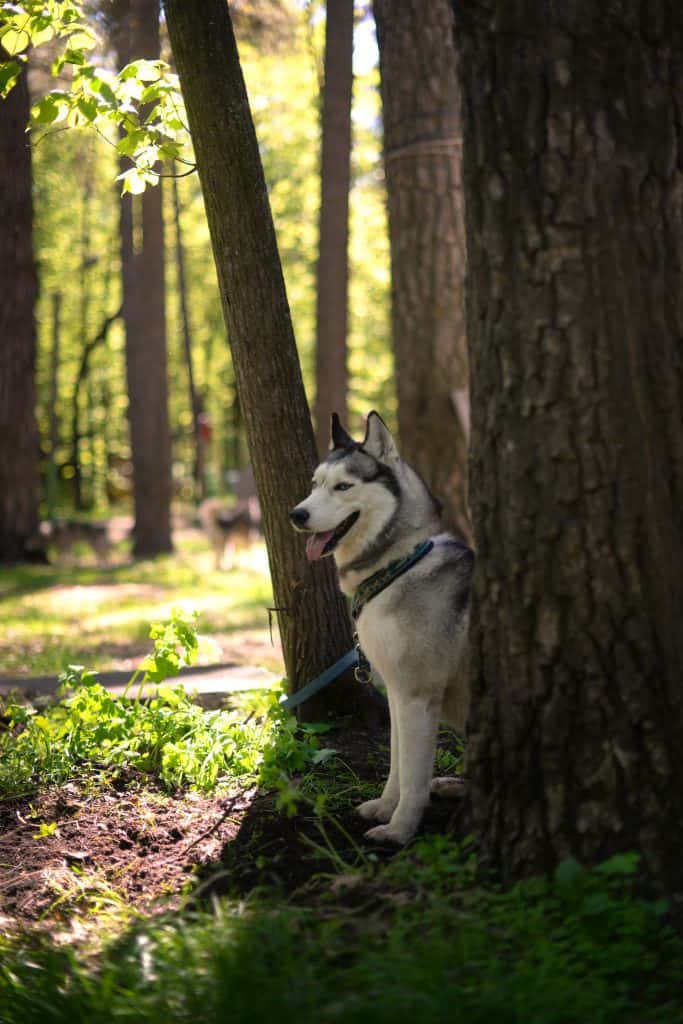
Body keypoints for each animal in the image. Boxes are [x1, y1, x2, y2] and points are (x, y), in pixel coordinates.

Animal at [286, 411, 471, 843]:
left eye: (343, 486)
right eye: (315, 484)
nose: (297, 515)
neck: (398, 566)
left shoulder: (417, 695)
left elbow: (414, 774)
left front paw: (400, 830)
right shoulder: (397, 693)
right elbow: (397, 763)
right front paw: (385, 808)